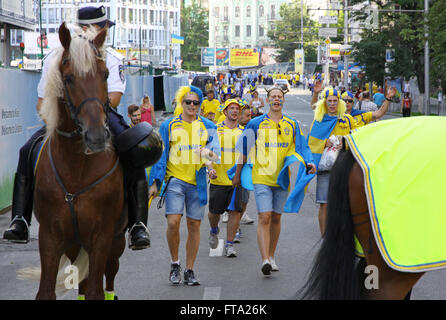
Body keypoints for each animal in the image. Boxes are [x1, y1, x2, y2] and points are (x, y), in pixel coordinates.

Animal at [33, 23, 125, 300]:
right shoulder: (50, 237)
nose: (96, 137)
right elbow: (46, 291)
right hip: (74, 245)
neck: (77, 168)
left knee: (108, 277)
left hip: (115, 243)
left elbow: (96, 290)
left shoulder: (102, 236)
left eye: (106, 75)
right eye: (68, 78)